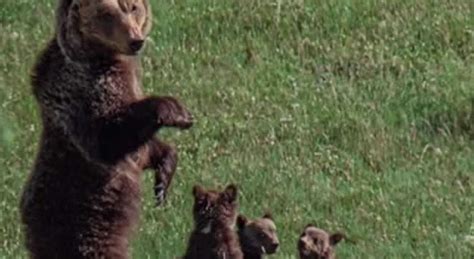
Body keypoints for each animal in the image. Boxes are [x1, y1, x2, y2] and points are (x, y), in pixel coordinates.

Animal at [18, 0, 193, 258]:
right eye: (109, 12)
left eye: (133, 8)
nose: (136, 40)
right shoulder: (84, 89)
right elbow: (106, 138)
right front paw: (177, 111)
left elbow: (145, 149)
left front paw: (163, 182)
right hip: (82, 228)